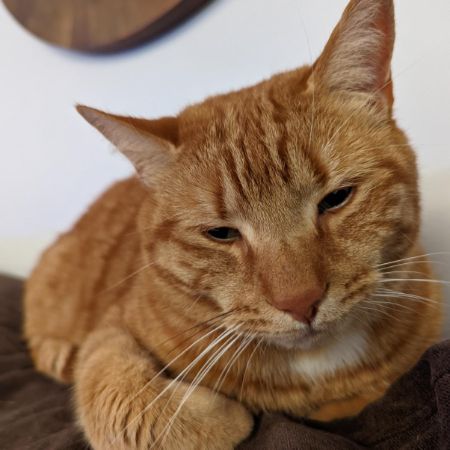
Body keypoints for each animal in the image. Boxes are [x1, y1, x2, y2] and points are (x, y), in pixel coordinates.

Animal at [24, 0, 442, 448]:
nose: (301, 302)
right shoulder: (110, 333)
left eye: (336, 199)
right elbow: (115, 393)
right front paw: (221, 415)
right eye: (221, 233)